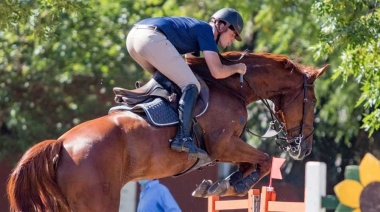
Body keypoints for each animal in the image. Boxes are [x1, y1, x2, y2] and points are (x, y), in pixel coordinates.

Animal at [5, 51, 326, 212]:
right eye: (313, 102)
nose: (304, 148)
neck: (230, 85)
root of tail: (60, 144)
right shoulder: (222, 144)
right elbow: (264, 160)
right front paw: (231, 185)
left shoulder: (225, 148)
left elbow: (254, 163)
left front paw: (219, 185)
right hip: (97, 202)